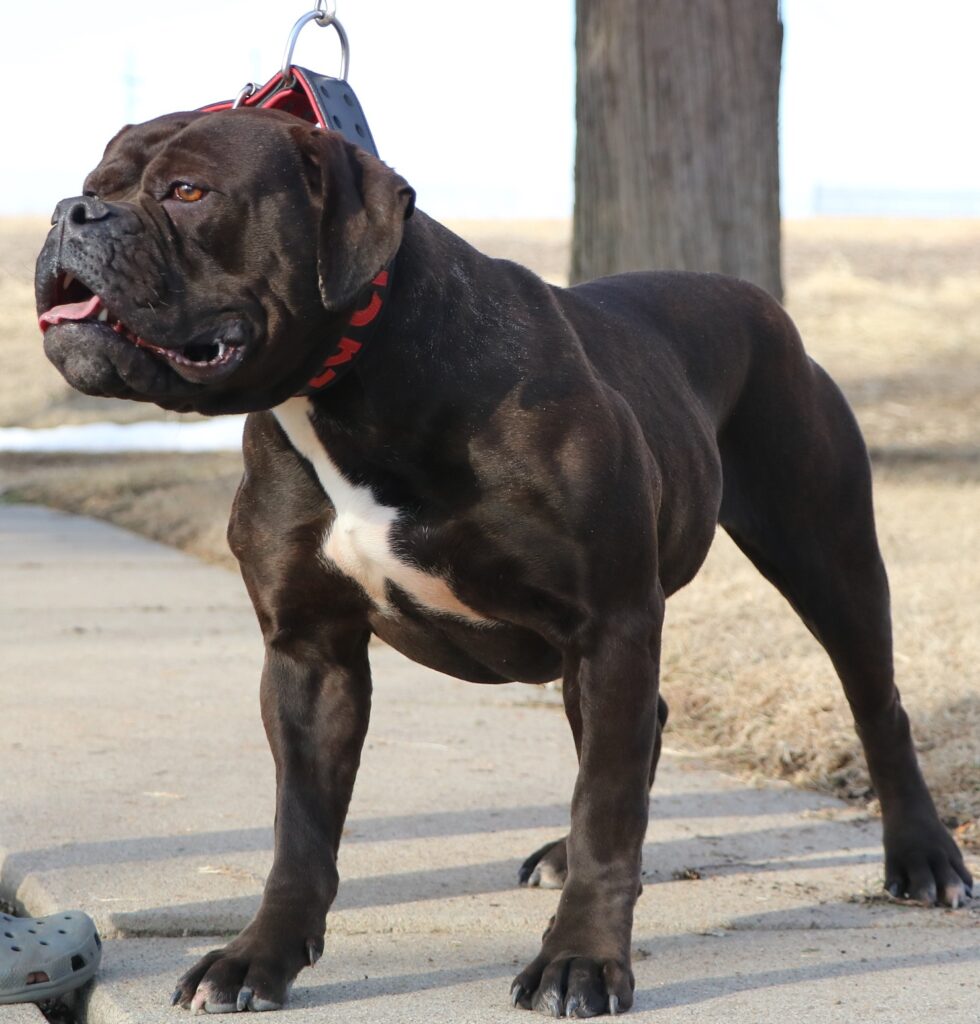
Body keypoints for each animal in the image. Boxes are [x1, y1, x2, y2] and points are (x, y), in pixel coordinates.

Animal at [36, 110, 970, 1015]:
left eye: (188, 191)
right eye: (95, 184)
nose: (70, 213)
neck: (353, 382)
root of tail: (757, 301)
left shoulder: (610, 622)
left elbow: (607, 810)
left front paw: (580, 961)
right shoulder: (311, 652)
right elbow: (300, 831)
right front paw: (257, 959)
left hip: (825, 557)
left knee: (875, 706)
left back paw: (925, 859)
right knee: (640, 728)